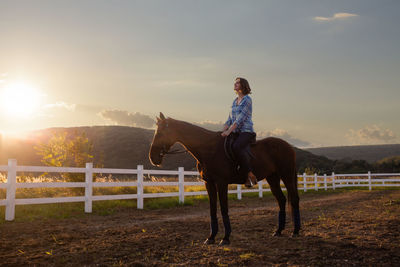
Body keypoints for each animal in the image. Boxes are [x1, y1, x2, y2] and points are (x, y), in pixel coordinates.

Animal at [150, 112, 300, 246]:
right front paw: (211, 237)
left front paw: (225, 238)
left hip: (287, 176)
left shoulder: (222, 183)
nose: (153, 158)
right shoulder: (209, 183)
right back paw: (278, 231)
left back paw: (295, 231)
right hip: (272, 178)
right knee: (281, 200)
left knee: (294, 199)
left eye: (161, 133)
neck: (208, 149)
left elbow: (223, 208)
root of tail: (288, 146)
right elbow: (212, 209)